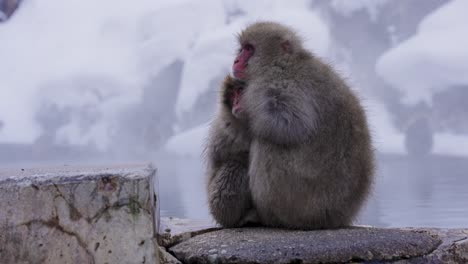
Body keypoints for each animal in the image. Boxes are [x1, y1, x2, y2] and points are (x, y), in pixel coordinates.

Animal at [205, 21, 372, 230]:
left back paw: (267, 217)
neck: (284, 62)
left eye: (249, 49)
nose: (236, 60)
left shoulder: (277, 81)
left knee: (267, 143)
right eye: (241, 48)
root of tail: (338, 217)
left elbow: (290, 122)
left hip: (303, 203)